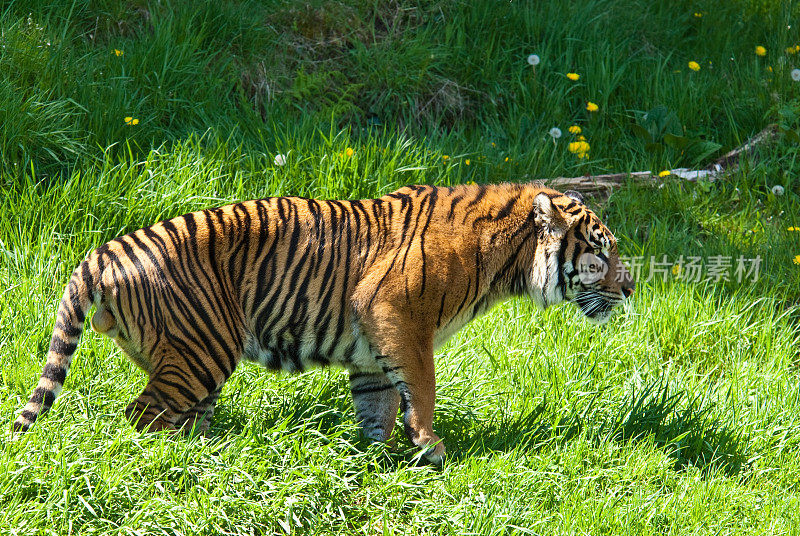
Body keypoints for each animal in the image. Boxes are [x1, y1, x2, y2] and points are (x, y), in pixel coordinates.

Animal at [14, 182, 632, 462]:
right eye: (601, 252)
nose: (630, 288)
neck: (508, 260)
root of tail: (103, 252)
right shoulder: (399, 317)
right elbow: (423, 389)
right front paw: (431, 450)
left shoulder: (374, 347)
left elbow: (379, 405)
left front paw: (374, 459)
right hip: (201, 351)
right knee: (140, 417)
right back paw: (171, 466)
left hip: (187, 360)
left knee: (175, 417)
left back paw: (208, 458)